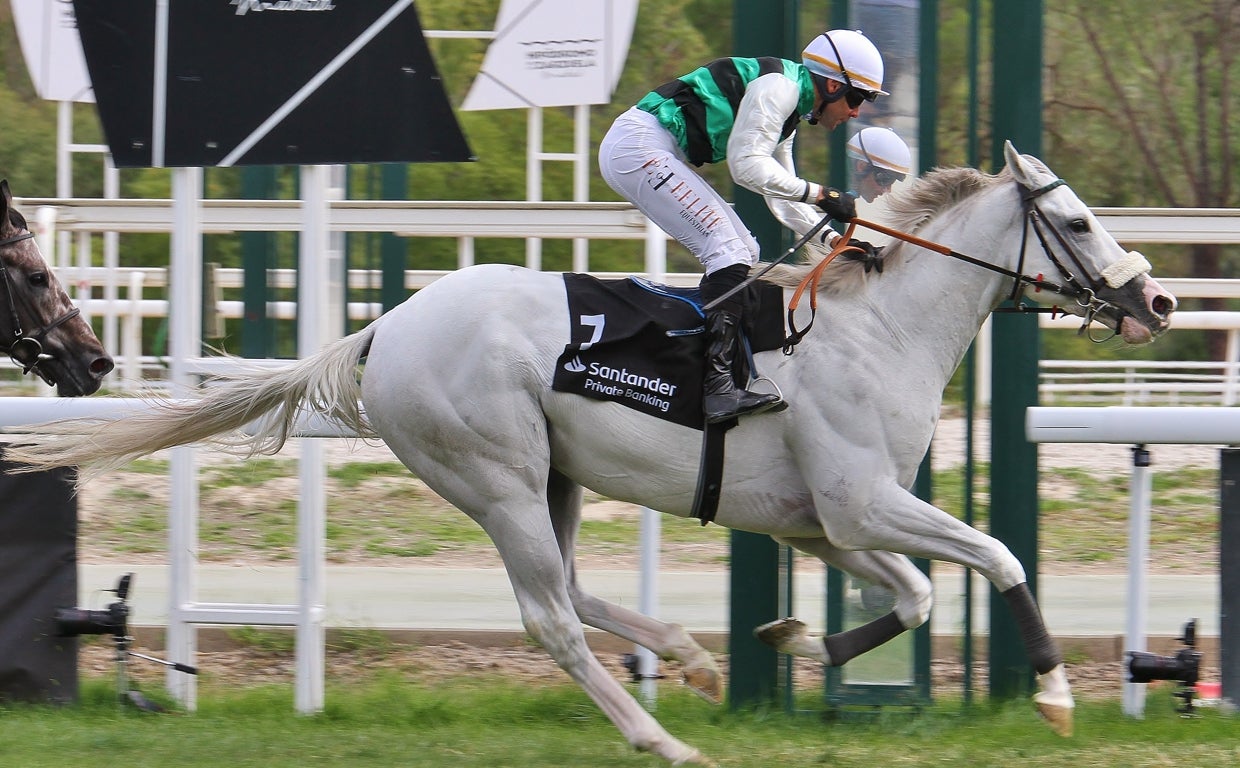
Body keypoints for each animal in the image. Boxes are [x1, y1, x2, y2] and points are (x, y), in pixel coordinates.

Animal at [7, 142, 1170, 764]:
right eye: (1074, 219)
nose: (1155, 299)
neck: (872, 327)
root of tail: (382, 331)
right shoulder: (860, 500)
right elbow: (998, 558)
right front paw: (1056, 695)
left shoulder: (826, 518)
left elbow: (922, 593)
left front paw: (798, 641)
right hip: (500, 477)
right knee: (550, 619)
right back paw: (661, 736)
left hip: (554, 478)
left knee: (571, 590)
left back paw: (693, 660)